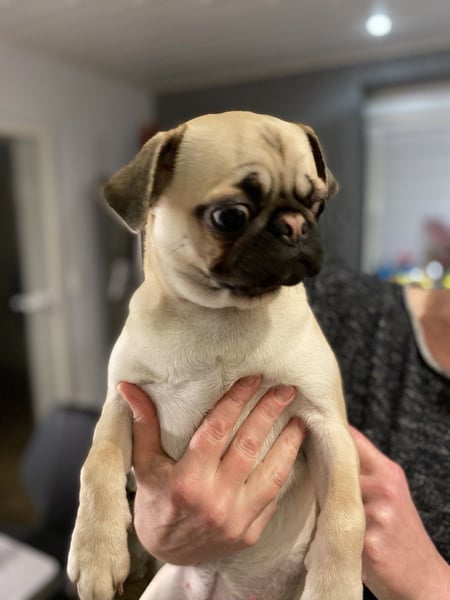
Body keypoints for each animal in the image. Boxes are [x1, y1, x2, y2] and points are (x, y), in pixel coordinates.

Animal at [67, 111, 364, 600]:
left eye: (317, 204)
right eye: (230, 216)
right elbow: (98, 466)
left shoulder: (328, 427)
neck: (219, 317)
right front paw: (97, 553)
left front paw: (336, 587)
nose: (296, 224)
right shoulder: (121, 403)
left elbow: (345, 516)